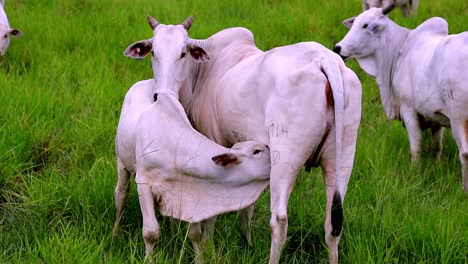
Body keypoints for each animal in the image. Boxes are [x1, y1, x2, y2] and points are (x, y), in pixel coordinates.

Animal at [125, 14, 362, 264]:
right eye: (154, 52)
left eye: (182, 53)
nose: (159, 95)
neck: (203, 72)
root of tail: (325, 60)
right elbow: (247, 206)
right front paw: (246, 242)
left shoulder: (216, 143)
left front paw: (207, 245)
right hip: (342, 158)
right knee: (332, 225)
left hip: (285, 160)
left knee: (279, 221)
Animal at [332, 4, 468, 192]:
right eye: (355, 22)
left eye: (366, 25)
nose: (338, 48)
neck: (400, 49)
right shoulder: (436, 116)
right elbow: (437, 147)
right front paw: (435, 165)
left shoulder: (408, 108)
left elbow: (415, 147)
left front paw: (414, 173)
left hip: (458, 117)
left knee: (465, 153)